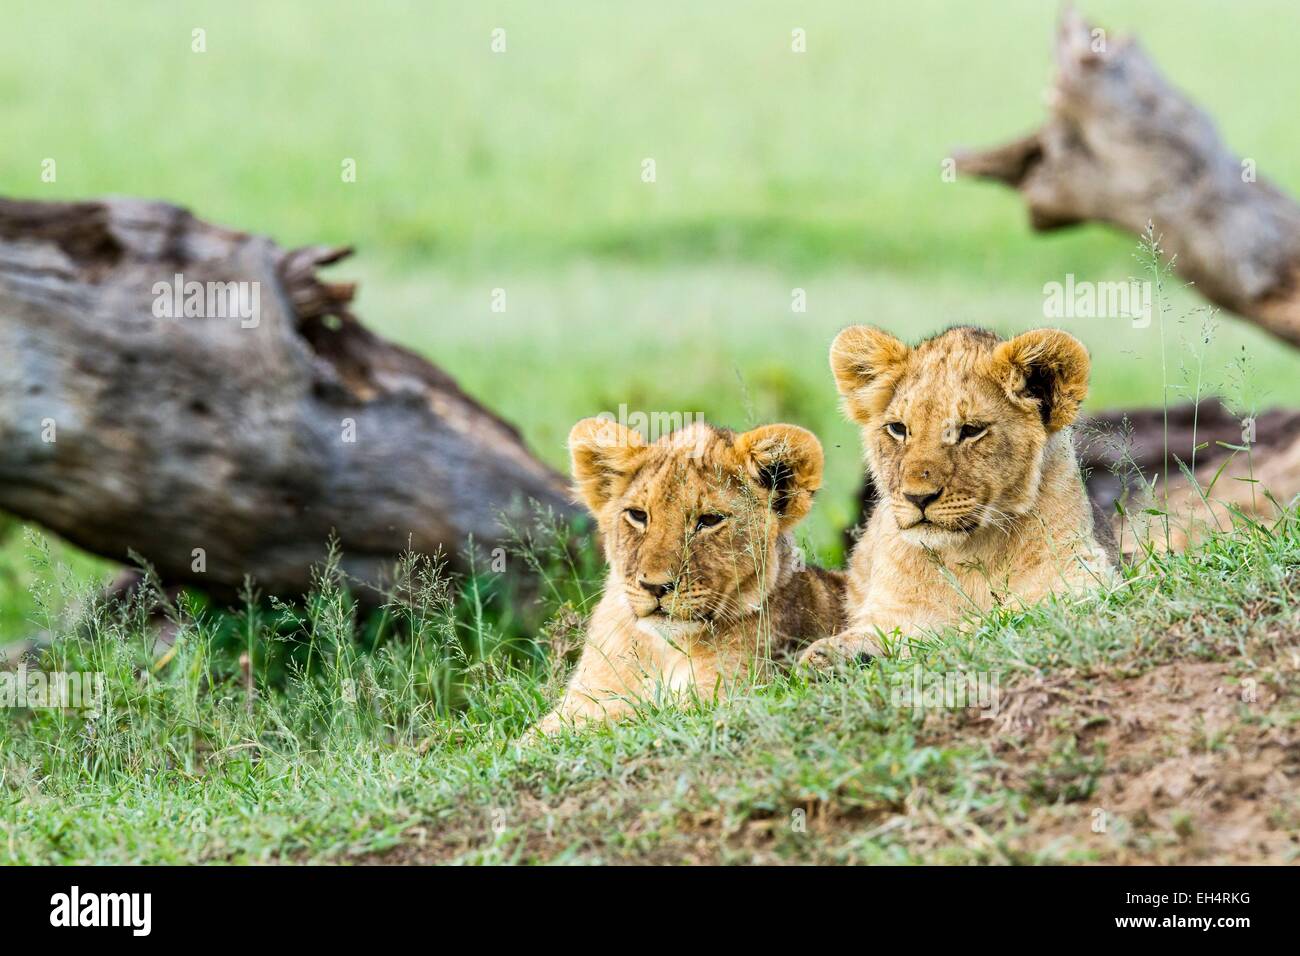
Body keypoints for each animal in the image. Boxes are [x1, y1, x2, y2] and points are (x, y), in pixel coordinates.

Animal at [531, 417, 846, 736]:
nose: (655, 587)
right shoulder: (583, 700)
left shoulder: (726, 696)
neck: (663, 652)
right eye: (638, 515)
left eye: (709, 520)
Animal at [799, 325, 1114, 668]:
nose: (918, 498)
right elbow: (877, 632)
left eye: (971, 430)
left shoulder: (1082, 576)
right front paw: (828, 655)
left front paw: (955, 638)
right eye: (898, 428)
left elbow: (1010, 613)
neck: (970, 552)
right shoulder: (893, 609)